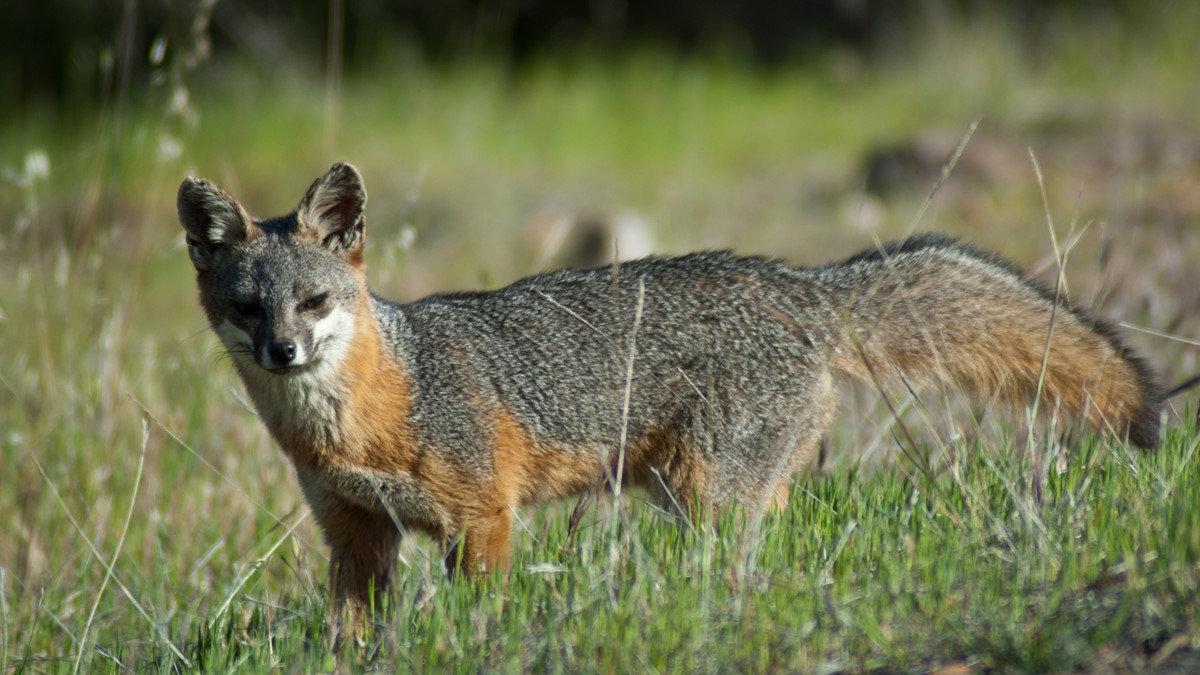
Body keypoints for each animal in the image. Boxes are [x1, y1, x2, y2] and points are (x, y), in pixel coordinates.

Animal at [175, 162, 1161, 619]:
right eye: (247, 306)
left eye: (313, 301)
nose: (284, 351)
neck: (361, 425)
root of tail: (796, 282)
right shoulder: (356, 540)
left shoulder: (482, 519)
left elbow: (479, 615)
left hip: (706, 497)